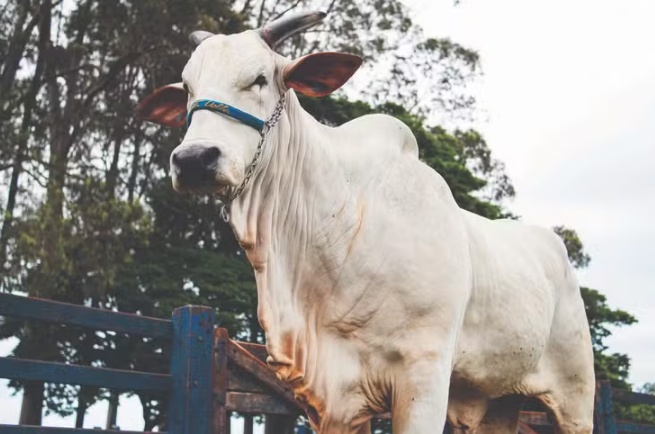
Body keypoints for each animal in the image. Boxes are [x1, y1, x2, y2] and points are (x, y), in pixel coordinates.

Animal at [136, 11, 595, 434]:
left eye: (260, 78)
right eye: (188, 88)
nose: (194, 160)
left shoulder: (424, 374)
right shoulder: (334, 400)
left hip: (576, 397)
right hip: (499, 399)